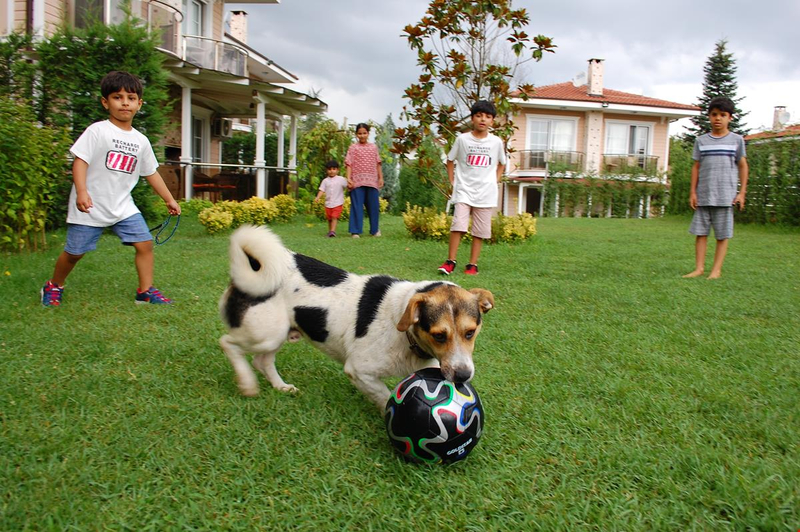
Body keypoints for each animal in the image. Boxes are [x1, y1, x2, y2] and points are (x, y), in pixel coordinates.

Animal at [219, 223, 494, 408]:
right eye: (439, 336)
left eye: (470, 333)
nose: (463, 376)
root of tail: (252, 268)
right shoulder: (360, 371)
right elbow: (385, 397)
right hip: (264, 333)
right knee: (228, 343)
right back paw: (247, 383)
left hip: (276, 333)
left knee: (262, 361)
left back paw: (280, 386)